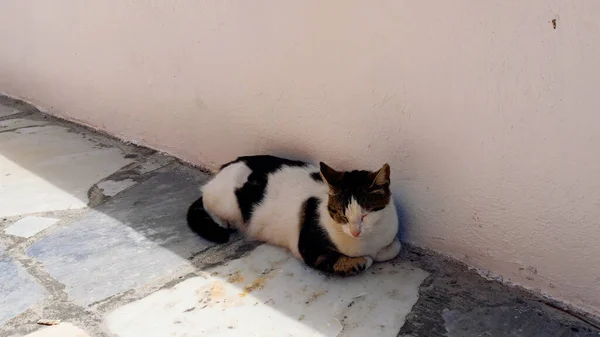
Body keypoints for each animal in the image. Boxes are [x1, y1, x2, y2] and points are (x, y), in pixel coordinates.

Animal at [186, 155, 404, 276]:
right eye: (342, 215)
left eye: (366, 214)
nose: (355, 231)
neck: (368, 242)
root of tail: (227, 165)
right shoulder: (309, 247)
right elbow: (352, 261)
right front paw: (363, 260)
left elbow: (395, 247)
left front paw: (382, 252)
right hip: (227, 203)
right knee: (205, 198)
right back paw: (223, 222)